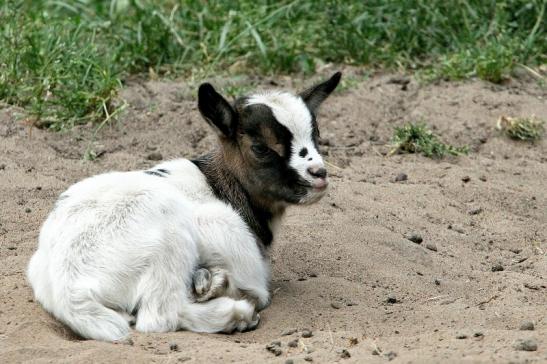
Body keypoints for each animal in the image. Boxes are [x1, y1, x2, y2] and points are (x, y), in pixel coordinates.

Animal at [27, 72, 342, 342]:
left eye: (316, 134)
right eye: (261, 147)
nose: (319, 174)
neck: (219, 186)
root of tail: (69, 288)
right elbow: (256, 291)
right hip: (170, 240)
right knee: (160, 315)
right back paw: (236, 315)